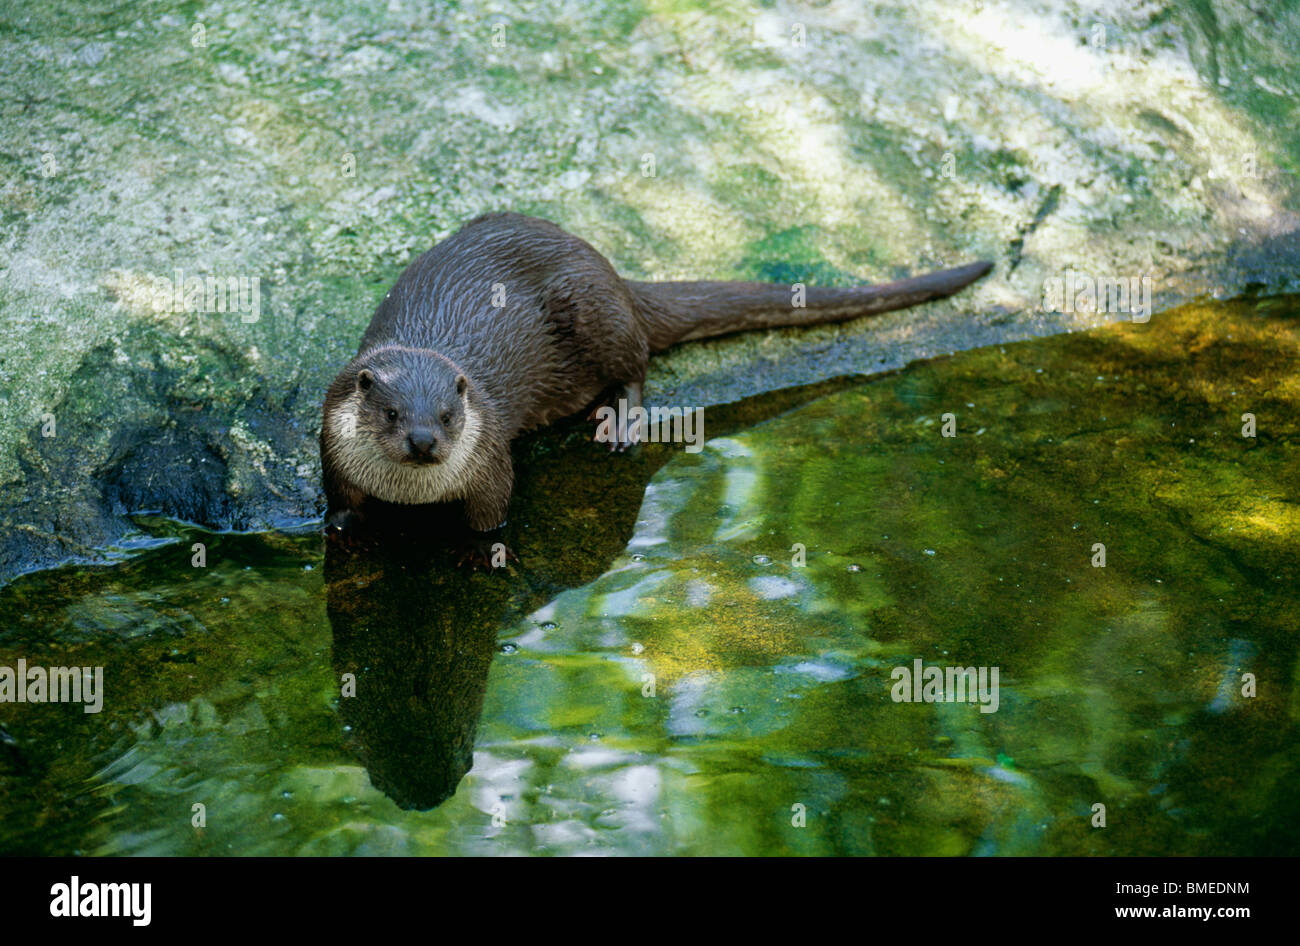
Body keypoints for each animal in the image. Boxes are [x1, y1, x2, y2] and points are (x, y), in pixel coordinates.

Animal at [321, 212, 992, 557]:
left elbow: (491, 519)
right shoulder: (332, 447)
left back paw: (618, 423)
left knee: (637, 365)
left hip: (597, 314)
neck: (412, 494)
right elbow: (341, 501)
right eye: (390, 414)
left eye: (448, 414)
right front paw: (339, 529)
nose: (424, 442)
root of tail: (612, 272)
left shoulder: (490, 461)